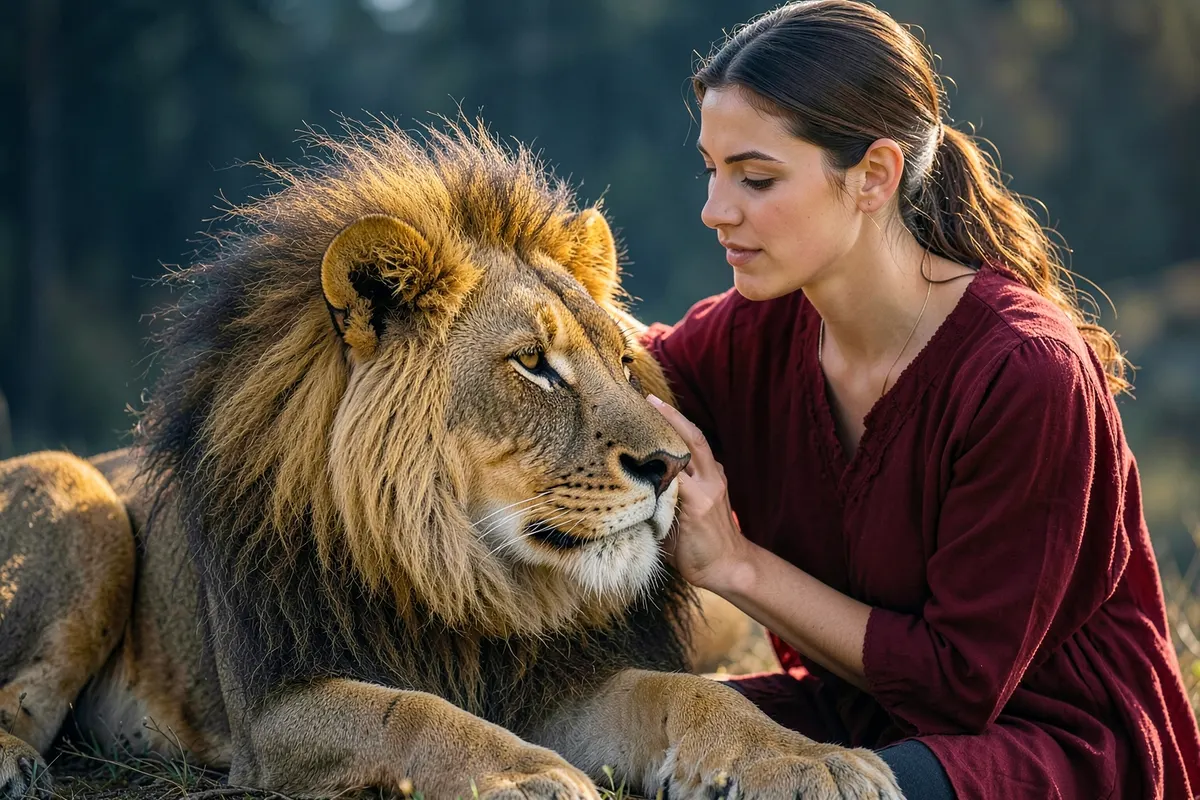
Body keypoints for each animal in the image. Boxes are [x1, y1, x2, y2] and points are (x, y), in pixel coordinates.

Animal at [0, 121, 900, 800]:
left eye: (623, 361)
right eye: (533, 362)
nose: (673, 466)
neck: (462, 567)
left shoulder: (554, 678)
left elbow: (687, 692)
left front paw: (809, 759)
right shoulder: (273, 710)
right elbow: (412, 713)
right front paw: (527, 777)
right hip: (78, 502)